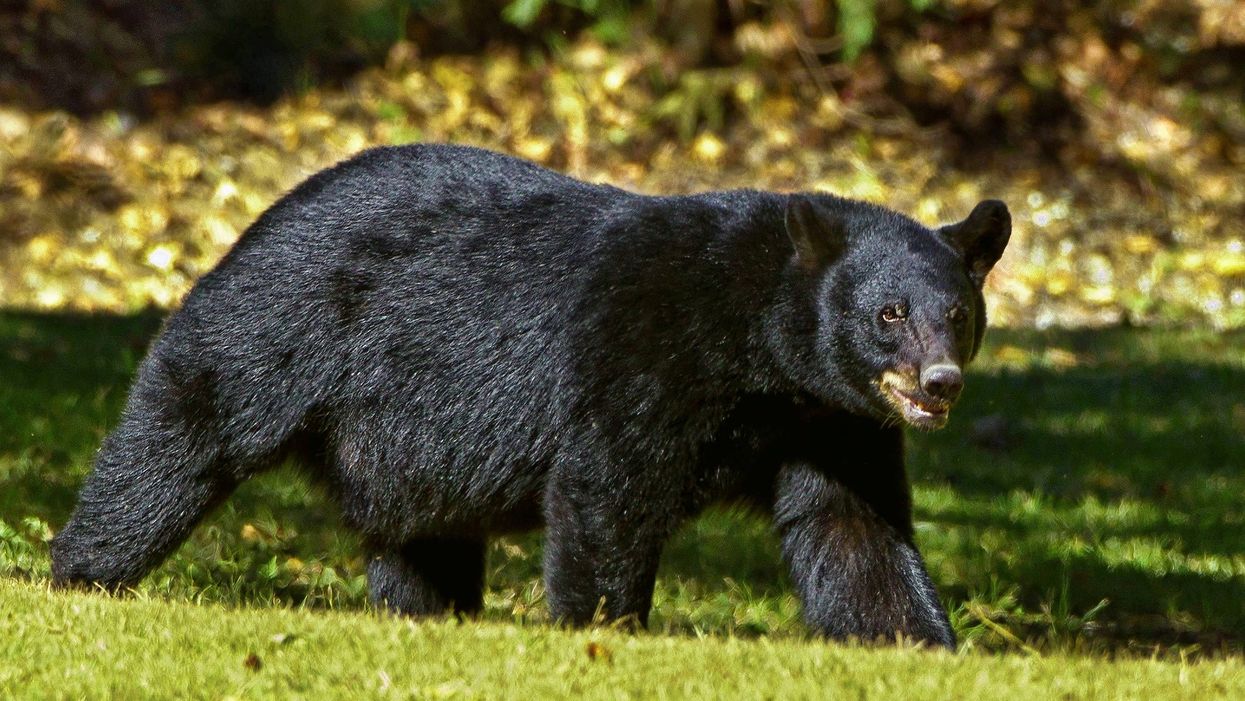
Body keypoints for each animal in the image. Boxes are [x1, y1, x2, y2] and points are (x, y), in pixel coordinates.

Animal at [53, 142, 1010, 647]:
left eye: (957, 314)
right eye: (888, 313)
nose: (938, 382)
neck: (758, 349)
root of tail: (263, 212)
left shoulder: (828, 418)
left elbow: (853, 527)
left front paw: (918, 642)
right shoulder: (645, 351)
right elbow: (608, 488)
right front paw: (605, 631)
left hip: (404, 443)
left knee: (420, 537)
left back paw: (429, 614)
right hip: (277, 324)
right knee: (182, 434)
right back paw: (81, 572)